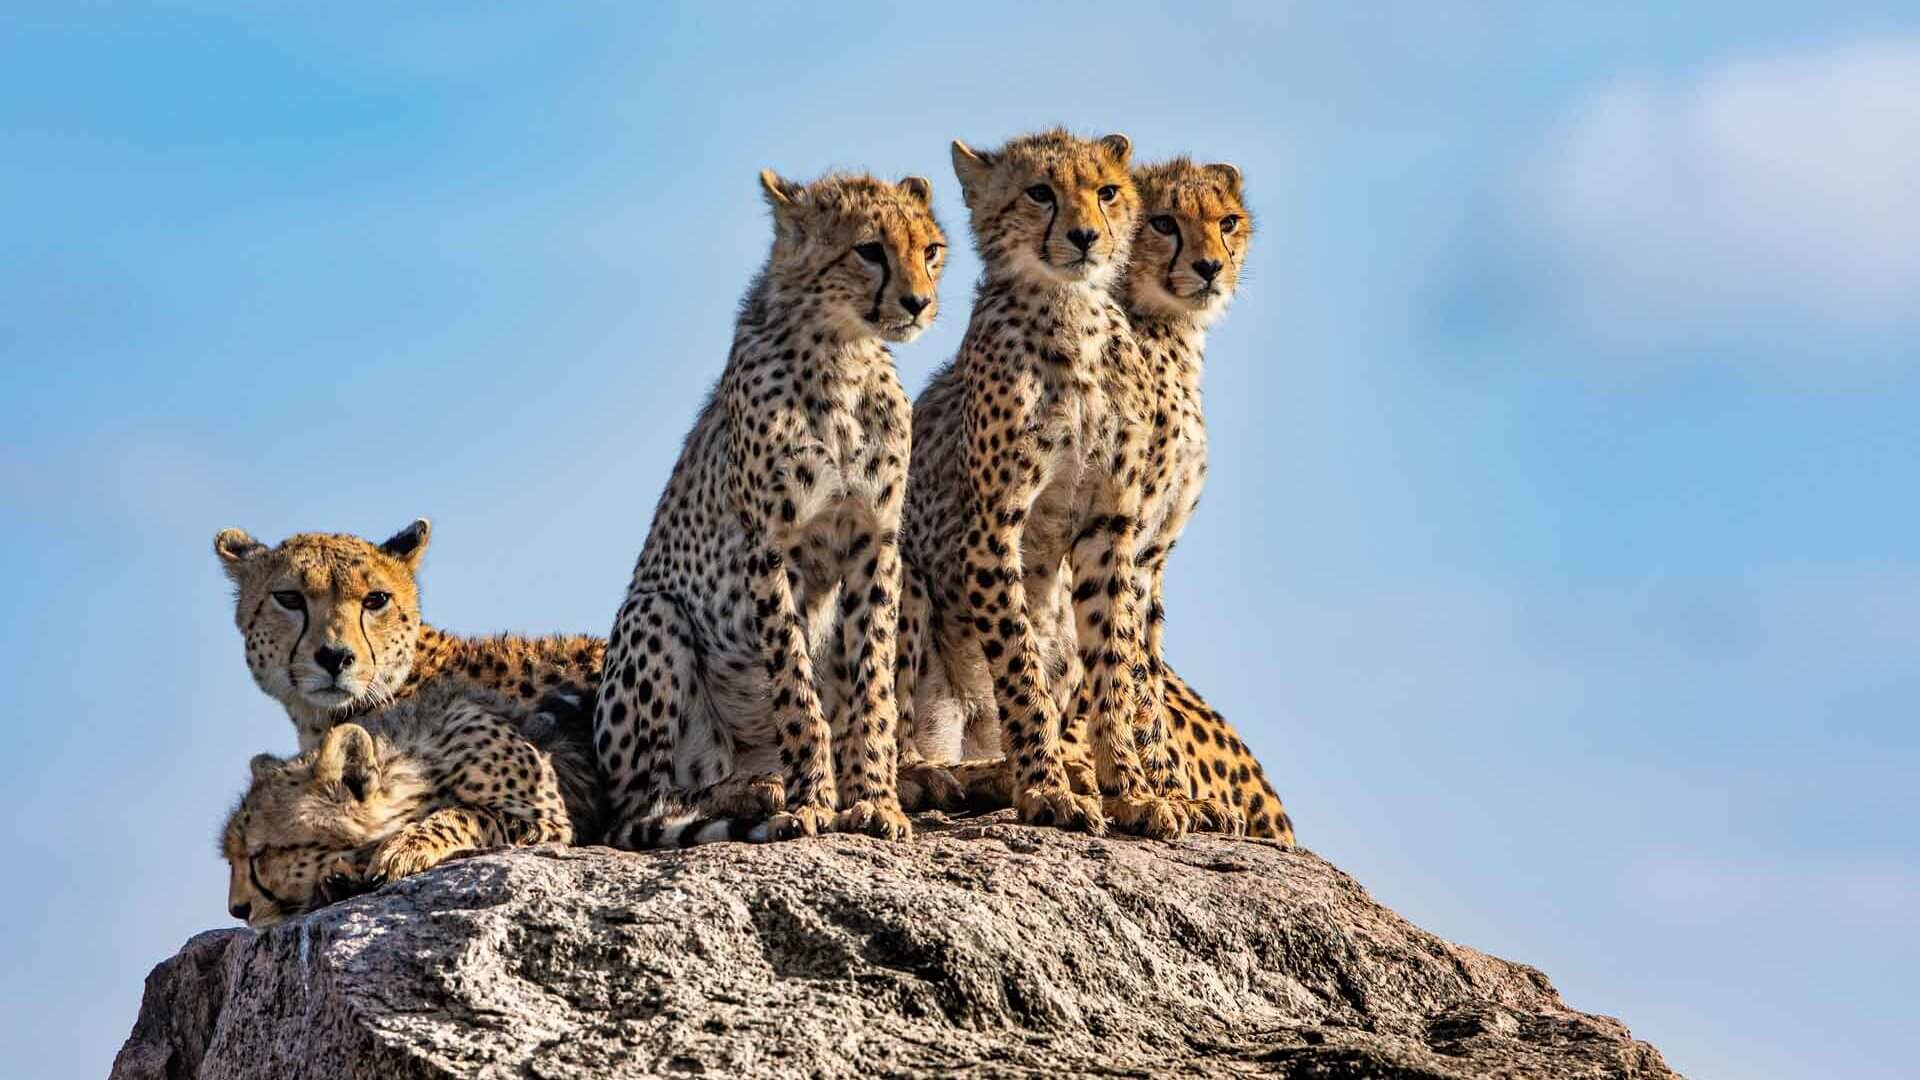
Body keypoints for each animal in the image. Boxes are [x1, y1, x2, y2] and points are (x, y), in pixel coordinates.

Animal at [220, 680, 574, 929]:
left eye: (258, 856)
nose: (237, 910)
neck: (424, 766)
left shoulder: (553, 823)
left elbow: (472, 813)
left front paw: (403, 848)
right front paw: (337, 881)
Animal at [592, 168, 946, 849]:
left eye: (931, 250)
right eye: (870, 250)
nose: (919, 302)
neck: (842, 356)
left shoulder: (876, 542)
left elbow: (873, 684)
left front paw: (875, 799)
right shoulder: (770, 549)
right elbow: (795, 685)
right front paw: (813, 802)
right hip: (654, 614)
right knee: (642, 806)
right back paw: (754, 791)